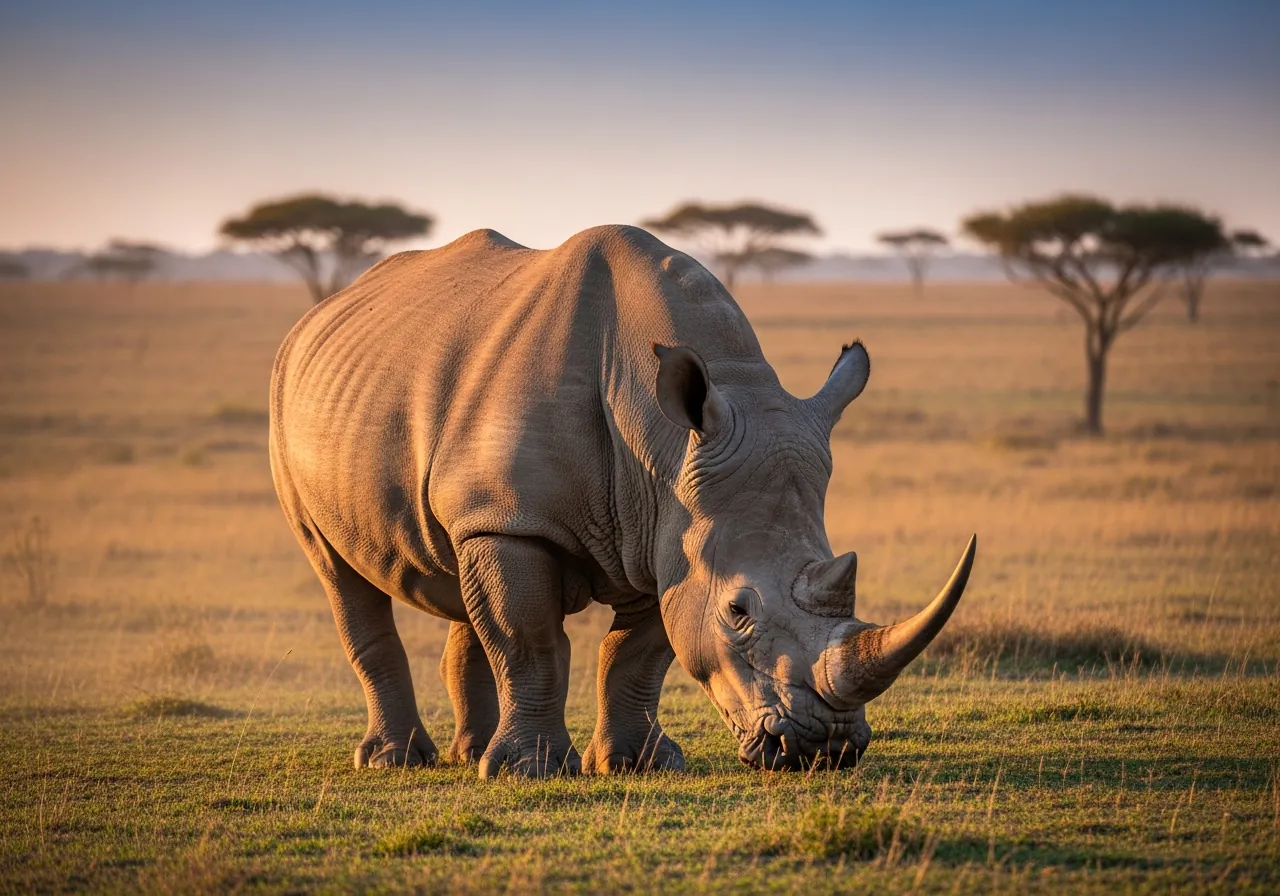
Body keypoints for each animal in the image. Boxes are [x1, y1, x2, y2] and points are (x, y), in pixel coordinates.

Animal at [269, 225, 975, 777]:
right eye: (738, 612)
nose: (824, 748)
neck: (664, 442)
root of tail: (316, 317)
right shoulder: (524, 523)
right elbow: (530, 640)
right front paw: (529, 772)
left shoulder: (666, 529)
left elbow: (638, 655)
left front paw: (637, 764)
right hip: (291, 404)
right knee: (338, 571)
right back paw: (398, 760)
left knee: (461, 567)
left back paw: (469, 755)